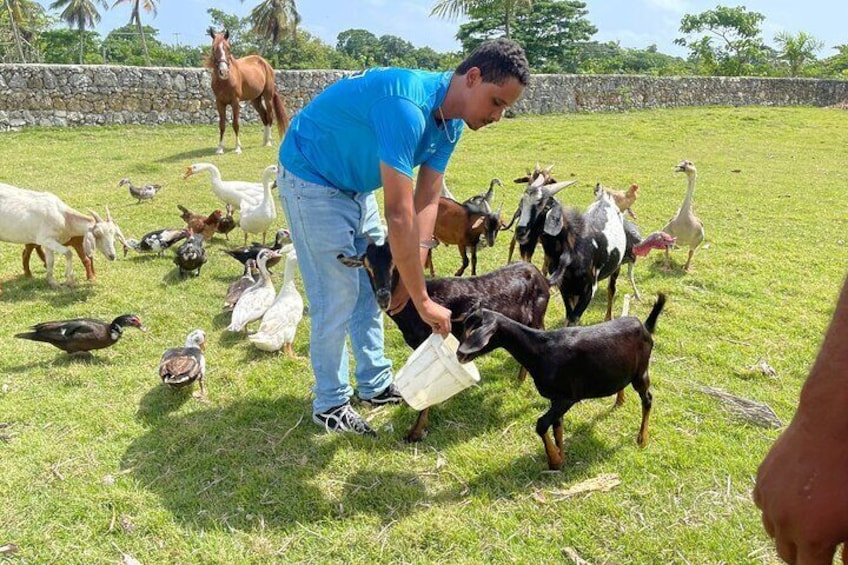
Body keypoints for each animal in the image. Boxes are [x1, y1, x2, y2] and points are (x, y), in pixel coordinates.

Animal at [338, 240, 548, 442]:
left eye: (394, 264)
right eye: (367, 266)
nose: (383, 298)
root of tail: (539, 274)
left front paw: (415, 433)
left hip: (537, 315)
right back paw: (520, 379)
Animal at [454, 294, 664, 470]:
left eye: (474, 331)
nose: (459, 354)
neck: (541, 350)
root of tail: (644, 327)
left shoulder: (567, 397)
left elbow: (541, 424)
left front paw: (554, 461)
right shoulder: (554, 399)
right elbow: (558, 427)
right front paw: (561, 458)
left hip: (641, 372)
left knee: (648, 398)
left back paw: (642, 439)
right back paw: (620, 402)